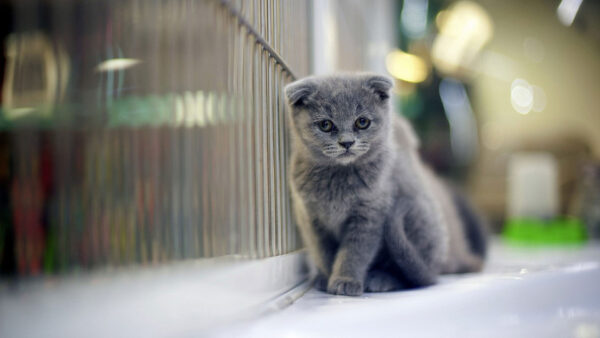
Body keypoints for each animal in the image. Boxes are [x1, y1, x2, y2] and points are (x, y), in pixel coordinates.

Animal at [284, 72, 486, 294]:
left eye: (362, 122)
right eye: (326, 125)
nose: (347, 142)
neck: (338, 178)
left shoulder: (370, 215)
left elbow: (354, 253)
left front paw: (345, 281)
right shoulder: (312, 219)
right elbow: (324, 252)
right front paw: (326, 277)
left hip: (417, 215)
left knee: (413, 276)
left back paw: (381, 279)